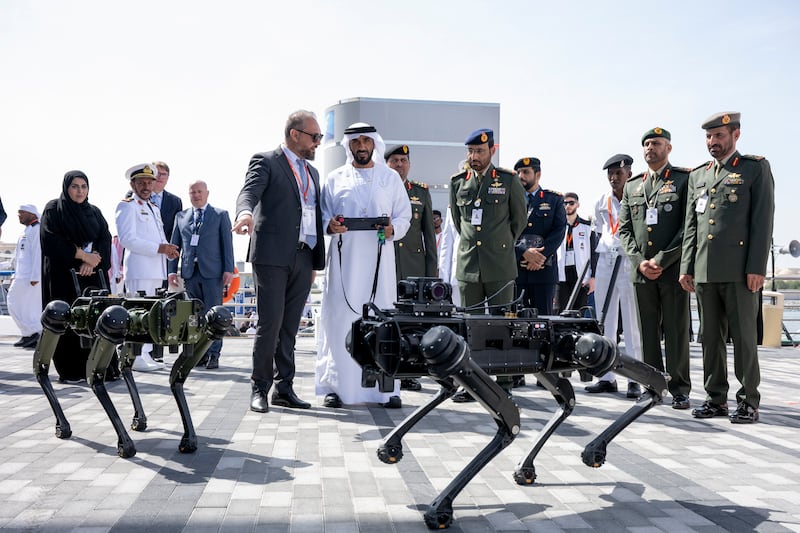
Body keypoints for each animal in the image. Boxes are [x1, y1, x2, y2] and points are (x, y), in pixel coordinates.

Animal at [32, 284, 230, 460]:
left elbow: (177, 377)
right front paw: (125, 444)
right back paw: (62, 426)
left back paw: (139, 420)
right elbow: (95, 378)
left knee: (125, 365)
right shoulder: (116, 323)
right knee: (46, 349)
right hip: (73, 318)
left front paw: (189, 439)